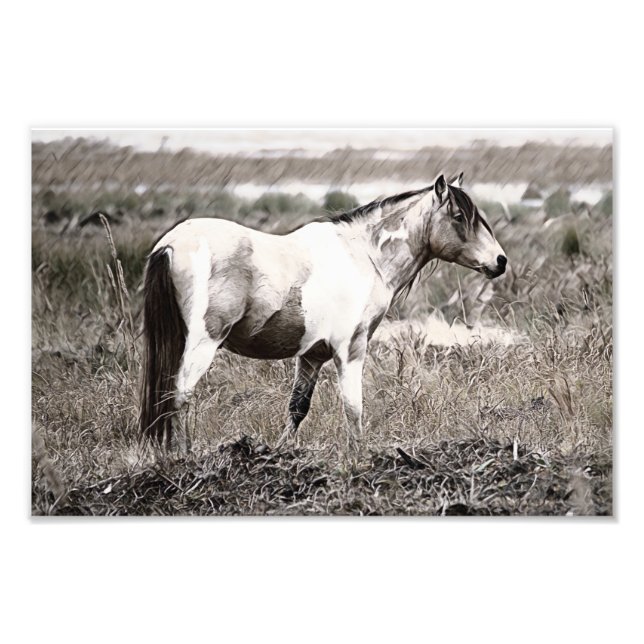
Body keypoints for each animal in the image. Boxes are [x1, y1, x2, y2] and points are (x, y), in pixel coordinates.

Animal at [139, 173, 507, 451]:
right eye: (459, 217)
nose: (500, 261)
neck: (364, 256)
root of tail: (170, 244)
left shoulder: (312, 356)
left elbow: (297, 408)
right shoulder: (351, 350)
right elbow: (353, 408)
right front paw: (358, 458)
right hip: (202, 344)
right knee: (180, 395)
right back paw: (185, 454)